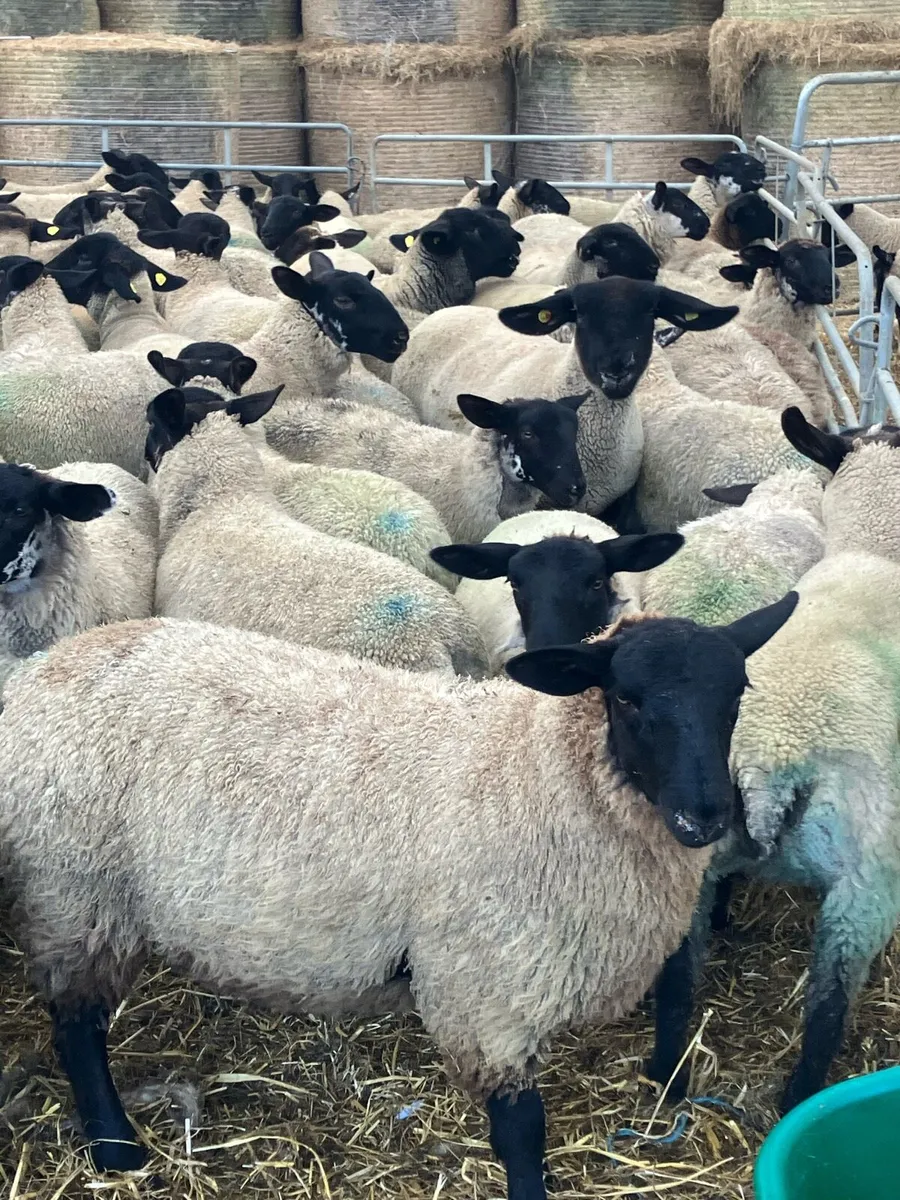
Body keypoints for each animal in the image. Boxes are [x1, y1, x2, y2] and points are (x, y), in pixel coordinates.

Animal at [0, 585, 796, 1182]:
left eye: (737, 694)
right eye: (627, 698)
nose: (705, 816)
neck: (535, 769)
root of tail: (41, 671)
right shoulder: (485, 991)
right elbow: (522, 1133)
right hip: (76, 890)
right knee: (75, 1024)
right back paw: (115, 1149)